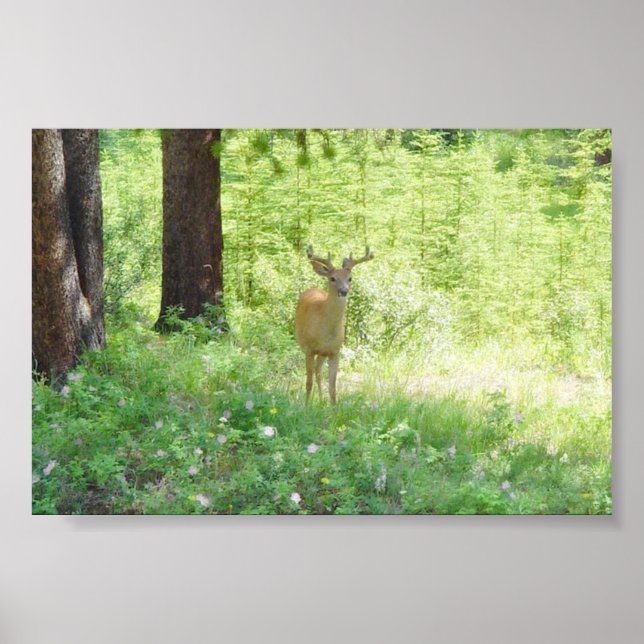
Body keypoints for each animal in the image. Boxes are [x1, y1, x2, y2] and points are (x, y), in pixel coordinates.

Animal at [295, 244, 374, 405]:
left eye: (350, 278)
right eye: (332, 278)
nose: (343, 291)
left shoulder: (335, 351)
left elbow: (333, 387)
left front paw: (333, 407)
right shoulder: (309, 349)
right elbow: (308, 383)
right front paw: (305, 406)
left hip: (323, 353)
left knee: (318, 371)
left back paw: (320, 400)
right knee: (315, 373)